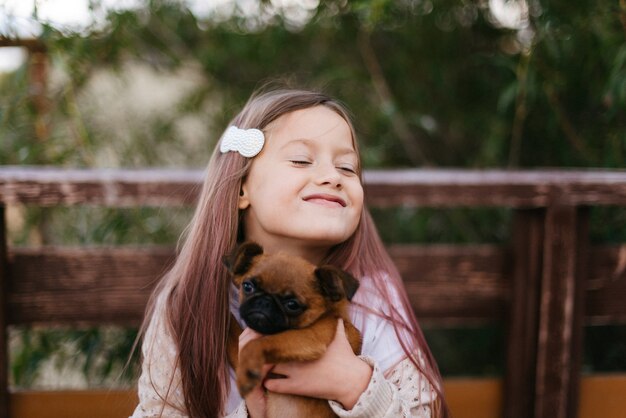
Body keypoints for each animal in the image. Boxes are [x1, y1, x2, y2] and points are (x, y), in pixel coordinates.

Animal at [223, 242, 360, 418]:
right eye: (247, 286)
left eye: (292, 305)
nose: (264, 301)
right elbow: (232, 329)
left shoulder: (308, 338)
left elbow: (257, 344)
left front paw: (247, 370)